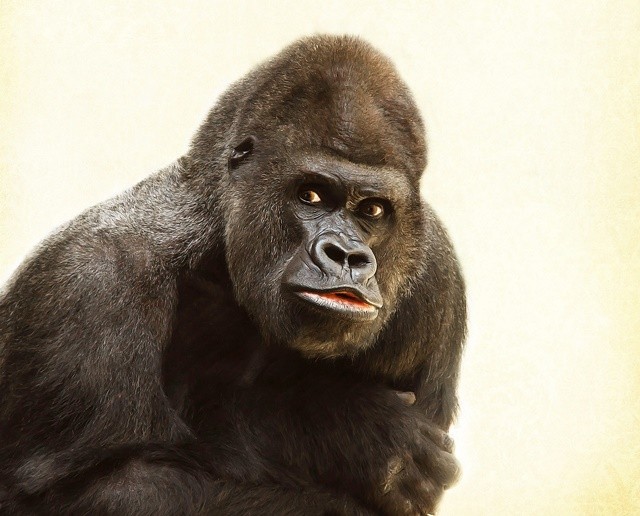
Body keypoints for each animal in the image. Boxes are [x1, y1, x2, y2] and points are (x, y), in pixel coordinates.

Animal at [0, 35, 465, 515]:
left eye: (372, 209)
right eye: (311, 195)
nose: (347, 256)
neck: (215, 243)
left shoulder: (436, 280)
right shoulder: (90, 280)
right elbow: (85, 489)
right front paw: (343, 429)